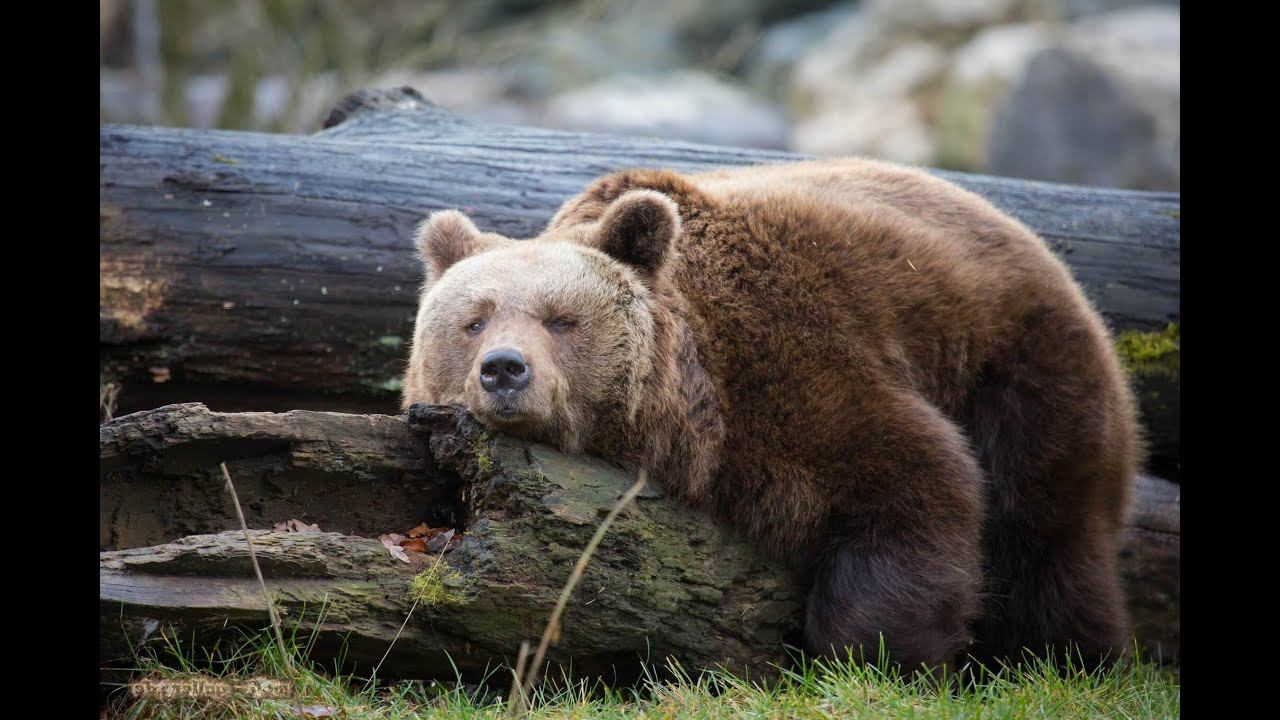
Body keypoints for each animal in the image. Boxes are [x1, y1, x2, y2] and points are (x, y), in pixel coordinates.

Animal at [399, 158, 1141, 671]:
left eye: (561, 319)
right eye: (473, 319)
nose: (504, 369)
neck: (688, 408)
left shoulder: (795, 366)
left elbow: (914, 482)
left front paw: (876, 654)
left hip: (1020, 371)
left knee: (1047, 535)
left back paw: (1070, 659)